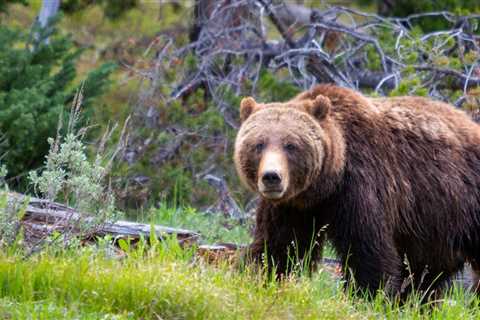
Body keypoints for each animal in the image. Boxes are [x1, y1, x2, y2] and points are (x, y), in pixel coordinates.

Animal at [234, 83, 480, 298]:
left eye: (291, 145)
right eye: (258, 144)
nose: (271, 177)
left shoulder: (361, 186)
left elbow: (367, 251)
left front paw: (365, 296)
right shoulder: (291, 207)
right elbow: (279, 247)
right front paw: (261, 278)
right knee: (427, 275)